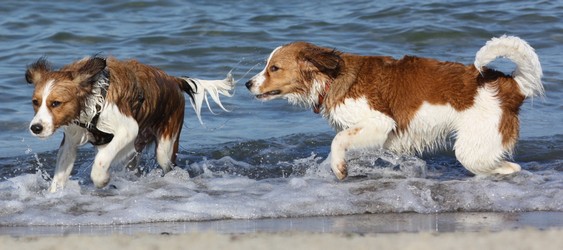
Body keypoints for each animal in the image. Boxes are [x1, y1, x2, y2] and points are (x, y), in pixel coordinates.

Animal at [25, 56, 234, 191]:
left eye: (55, 103)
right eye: (35, 102)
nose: (36, 128)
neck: (93, 97)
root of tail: (173, 80)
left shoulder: (128, 129)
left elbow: (101, 160)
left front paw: (102, 179)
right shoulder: (71, 140)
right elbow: (60, 174)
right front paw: (53, 196)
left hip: (165, 146)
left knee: (165, 162)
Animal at [246, 35, 540, 180]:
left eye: (274, 68)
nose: (248, 84)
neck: (330, 77)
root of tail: (511, 85)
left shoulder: (380, 122)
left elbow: (337, 140)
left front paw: (339, 168)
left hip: (472, 149)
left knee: (508, 168)